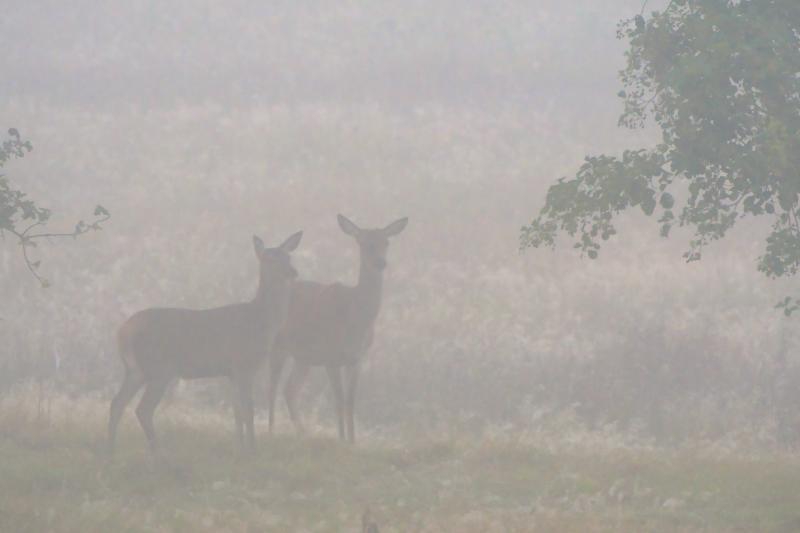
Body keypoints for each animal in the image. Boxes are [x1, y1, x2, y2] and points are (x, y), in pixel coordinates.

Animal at [108, 231, 302, 456]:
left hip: (135, 370)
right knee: (143, 409)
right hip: (159, 368)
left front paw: (240, 448)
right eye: (269, 259)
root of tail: (123, 332)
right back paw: (160, 455)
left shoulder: (231, 372)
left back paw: (110, 451)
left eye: (288, 257)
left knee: (117, 403)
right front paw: (253, 451)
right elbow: (249, 410)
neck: (261, 321)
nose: (292, 272)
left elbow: (237, 412)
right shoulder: (243, 365)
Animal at [268, 214, 406, 442]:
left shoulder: (357, 358)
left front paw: (352, 441)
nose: (380, 262)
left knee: (290, 389)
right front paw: (341, 440)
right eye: (363, 242)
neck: (355, 322)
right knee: (272, 386)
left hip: (304, 357)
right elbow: (339, 400)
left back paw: (303, 432)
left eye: (386, 242)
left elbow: (350, 401)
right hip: (278, 345)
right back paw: (273, 429)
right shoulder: (331, 356)